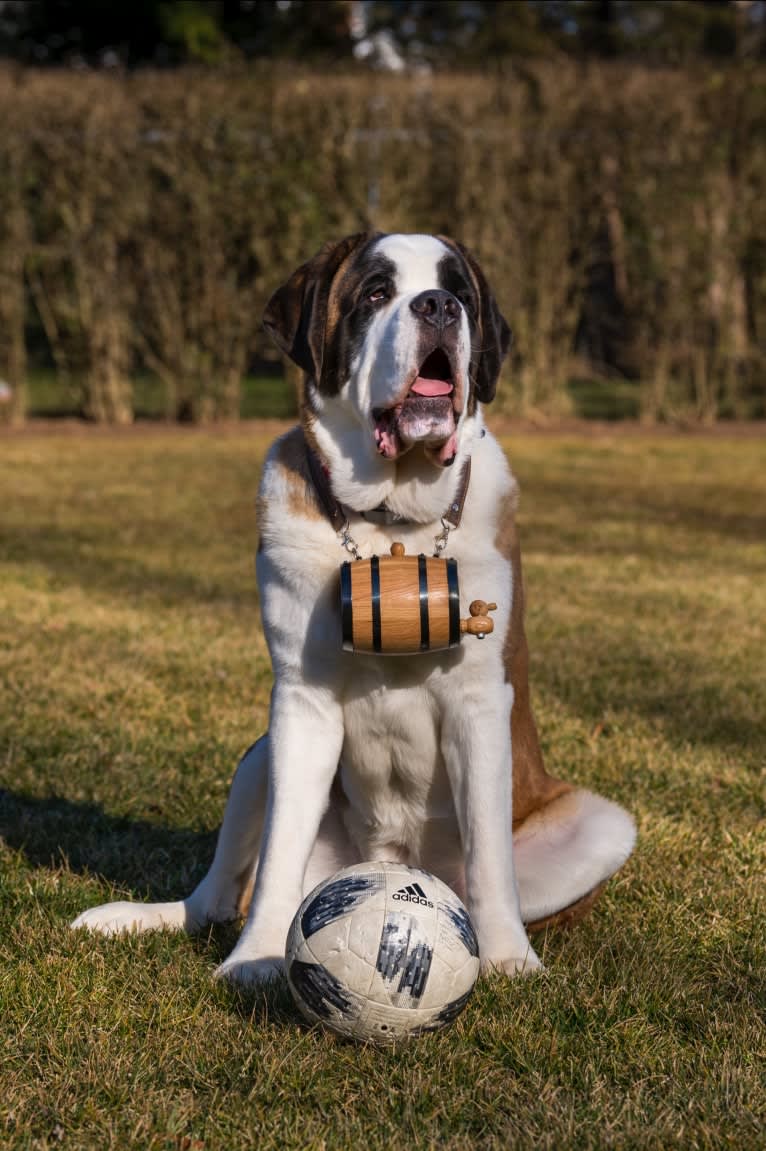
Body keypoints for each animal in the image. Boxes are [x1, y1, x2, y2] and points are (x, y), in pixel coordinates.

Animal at [73, 231, 630, 980]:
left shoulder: (480, 703)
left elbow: (490, 856)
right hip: (259, 755)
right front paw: (255, 959)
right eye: (375, 293)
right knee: (218, 898)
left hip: (601, 825)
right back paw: (154, 917)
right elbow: (277, 859)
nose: (438, 304)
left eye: (460, 290)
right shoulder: (300, 703)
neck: (390, 521)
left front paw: (512, 963)